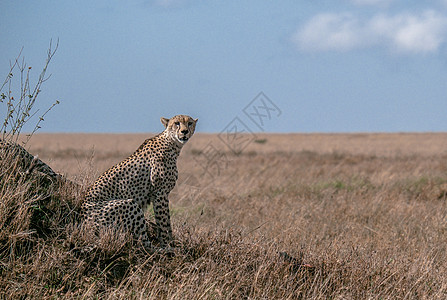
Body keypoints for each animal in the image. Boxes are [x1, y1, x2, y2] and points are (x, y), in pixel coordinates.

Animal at [81, 114, 200, 251]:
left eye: (190, 123)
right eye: (177, 123)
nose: (184, 131)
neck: (172, 143)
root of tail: (83, 224)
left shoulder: (160, 194)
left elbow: (167, 222)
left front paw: (170, 242)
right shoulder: (160, 193)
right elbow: (164, 222)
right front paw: (168, 244)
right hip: (128, 204)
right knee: (144, 244)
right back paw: (166, 249)